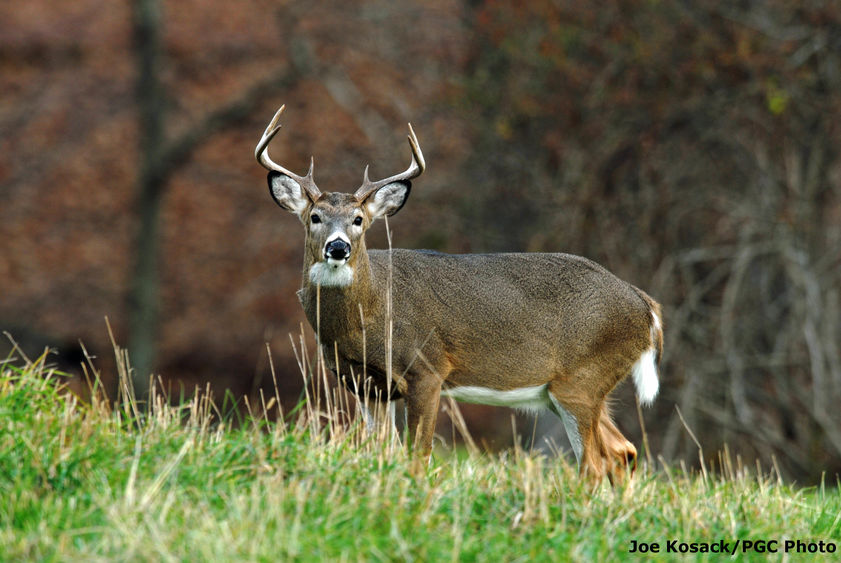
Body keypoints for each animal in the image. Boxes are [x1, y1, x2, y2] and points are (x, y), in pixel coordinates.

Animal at [256, 107, 664, 484]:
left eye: (358, 220)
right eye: (315, 217)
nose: (338, 247)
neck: (368, 315)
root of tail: (646, 308)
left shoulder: (427, 368)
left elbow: (417, 455)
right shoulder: (365, 383)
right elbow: (377, 449)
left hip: (582, 379)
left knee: (594, 463)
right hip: (566, 390)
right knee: (622, 451)